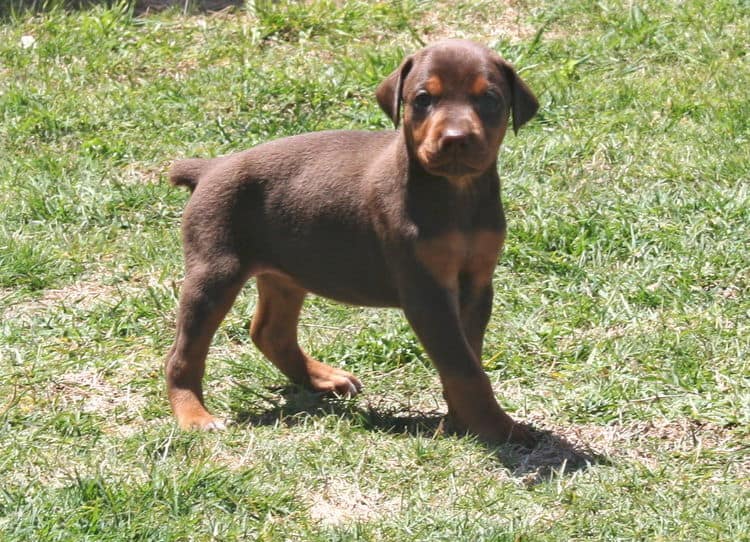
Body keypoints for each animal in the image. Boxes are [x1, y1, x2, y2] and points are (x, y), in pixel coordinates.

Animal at [166, 40, 540, 448]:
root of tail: (209, 168)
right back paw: (194, 415)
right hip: (213, 272)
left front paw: (460, 420)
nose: (456, 139)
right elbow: (464, 366)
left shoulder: (476, 284)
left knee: (269, 332)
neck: (456, 194)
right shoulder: (426, 292)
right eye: (423, 99)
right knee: (182, 354)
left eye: (489, 99)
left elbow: (467, 356)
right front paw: (498, 426)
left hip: (287, 273)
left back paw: (322, 378)